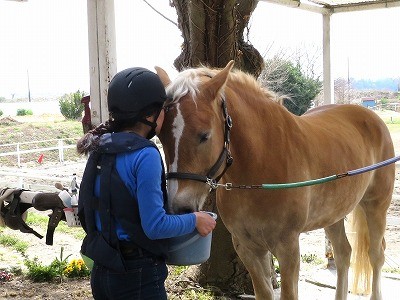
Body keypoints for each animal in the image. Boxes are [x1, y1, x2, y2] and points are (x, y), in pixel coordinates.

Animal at [155, 61, 394, 300]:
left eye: (204, 135)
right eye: (161, 136)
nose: (180, 208)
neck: (261, 169)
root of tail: (371, 117)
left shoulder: (288, 248)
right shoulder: (248, 248)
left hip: (376, 207)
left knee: (376, 255)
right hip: (333, 214)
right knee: (344, 253)